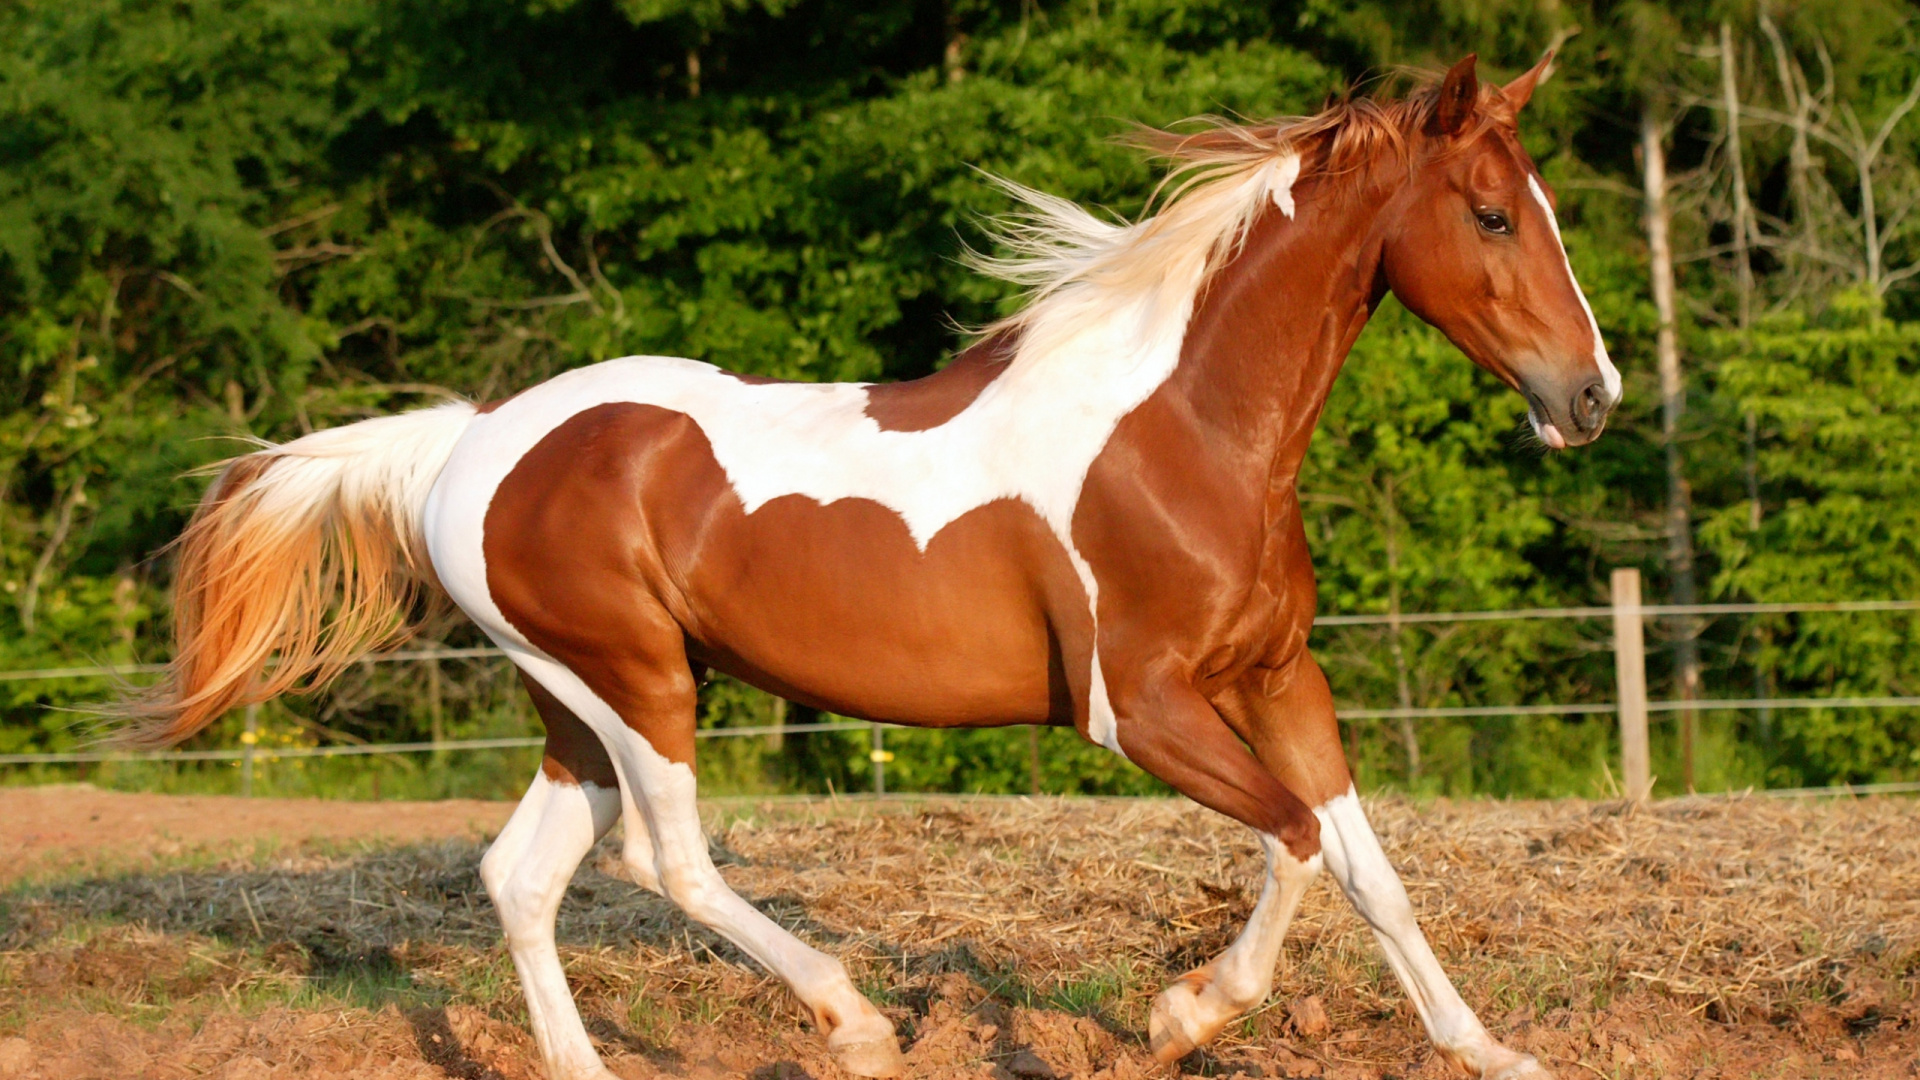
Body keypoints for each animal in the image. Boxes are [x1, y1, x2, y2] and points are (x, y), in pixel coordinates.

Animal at [119, 53, 1615, 1080]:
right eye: (1491, 214)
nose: (1590, 397)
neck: (1182, 431)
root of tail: (469, 439)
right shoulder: (1138, 708)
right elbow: (1296, 841)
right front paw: (1181, 1013)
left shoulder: (1278, 678)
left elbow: (1368, 869)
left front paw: (1493, 1052)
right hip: (637, 683)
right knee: (669, 861)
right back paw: (852, 1023)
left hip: (574, 704)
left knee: (520, 876)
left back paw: (592, 1064)